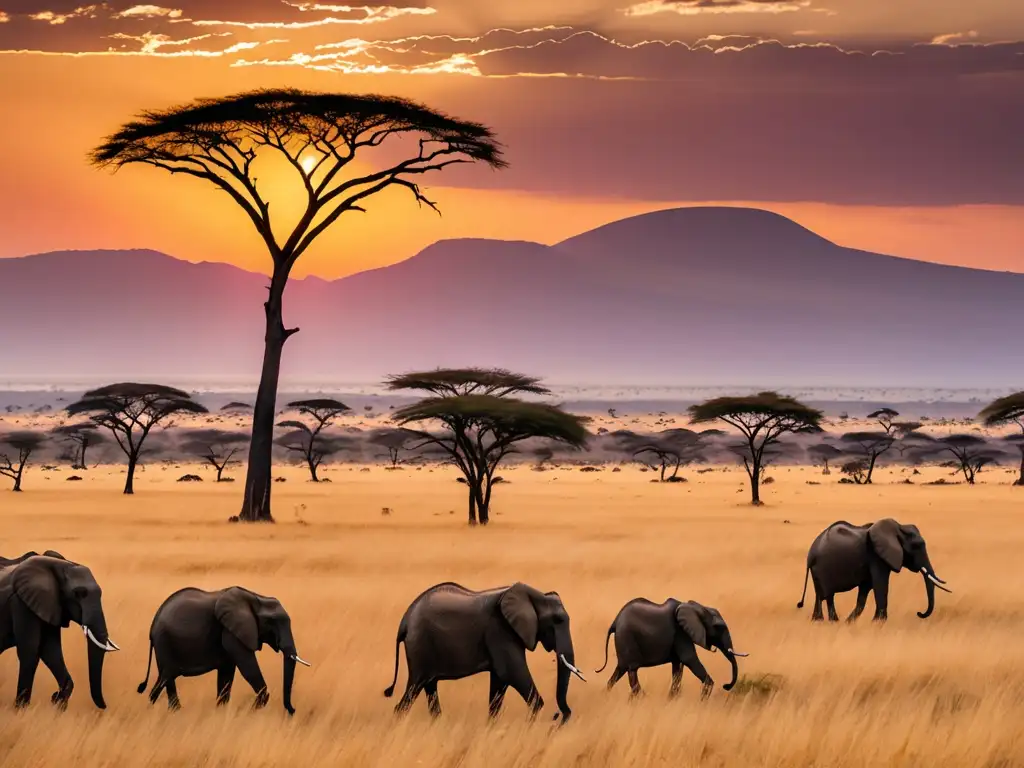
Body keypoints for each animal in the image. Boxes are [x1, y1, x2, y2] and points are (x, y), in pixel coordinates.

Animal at [0, 552, 118, 708]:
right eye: (78, 594)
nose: (105, 707)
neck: (59, 565)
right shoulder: (21, 603)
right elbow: (30, 652)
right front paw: (21, 708)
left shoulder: (52, 606)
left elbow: (51, 652)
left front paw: (57, 702)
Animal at [138, 589, 309, 716]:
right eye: (271, 622)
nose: (292, 710)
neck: (256, 598)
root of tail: (152, 627)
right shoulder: (231, 632)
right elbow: (247, 667)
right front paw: (256, 707)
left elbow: (227, 674)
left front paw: (221, 711)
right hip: (164, 643)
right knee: (167, 677)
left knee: (165, 678)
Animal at [382, 585, 585, 724]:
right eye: (557, 620)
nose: (558, 716)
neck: (533, 595)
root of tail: (404, 621)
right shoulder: (500, 631)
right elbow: (511, 673)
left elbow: (499, 682)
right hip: (419, 648)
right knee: (414, 689)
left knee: (429, 688)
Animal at [593, 602, 745, 704]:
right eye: (718, 627)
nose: (726, 686)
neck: (697, 607)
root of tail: (615, 621)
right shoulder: (681, 633)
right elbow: (689, 659)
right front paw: (705, 694)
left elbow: (678, 668)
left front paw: (671, 700)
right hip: (627, 637)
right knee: (632, 670)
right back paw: (643, 699)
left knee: (620, 671)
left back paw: (607, 696)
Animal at [798, 520, 950, 622]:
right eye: (917, 546)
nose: (919, 613)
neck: (899, 527)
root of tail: (811, 553)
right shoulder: (877, 557)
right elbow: (880, 585)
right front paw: (879, 622)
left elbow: (865, 590)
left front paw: (850, 623)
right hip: (822, 568)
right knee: (826, 595)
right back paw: (828, 621)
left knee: (823, 595)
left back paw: (823, 621)